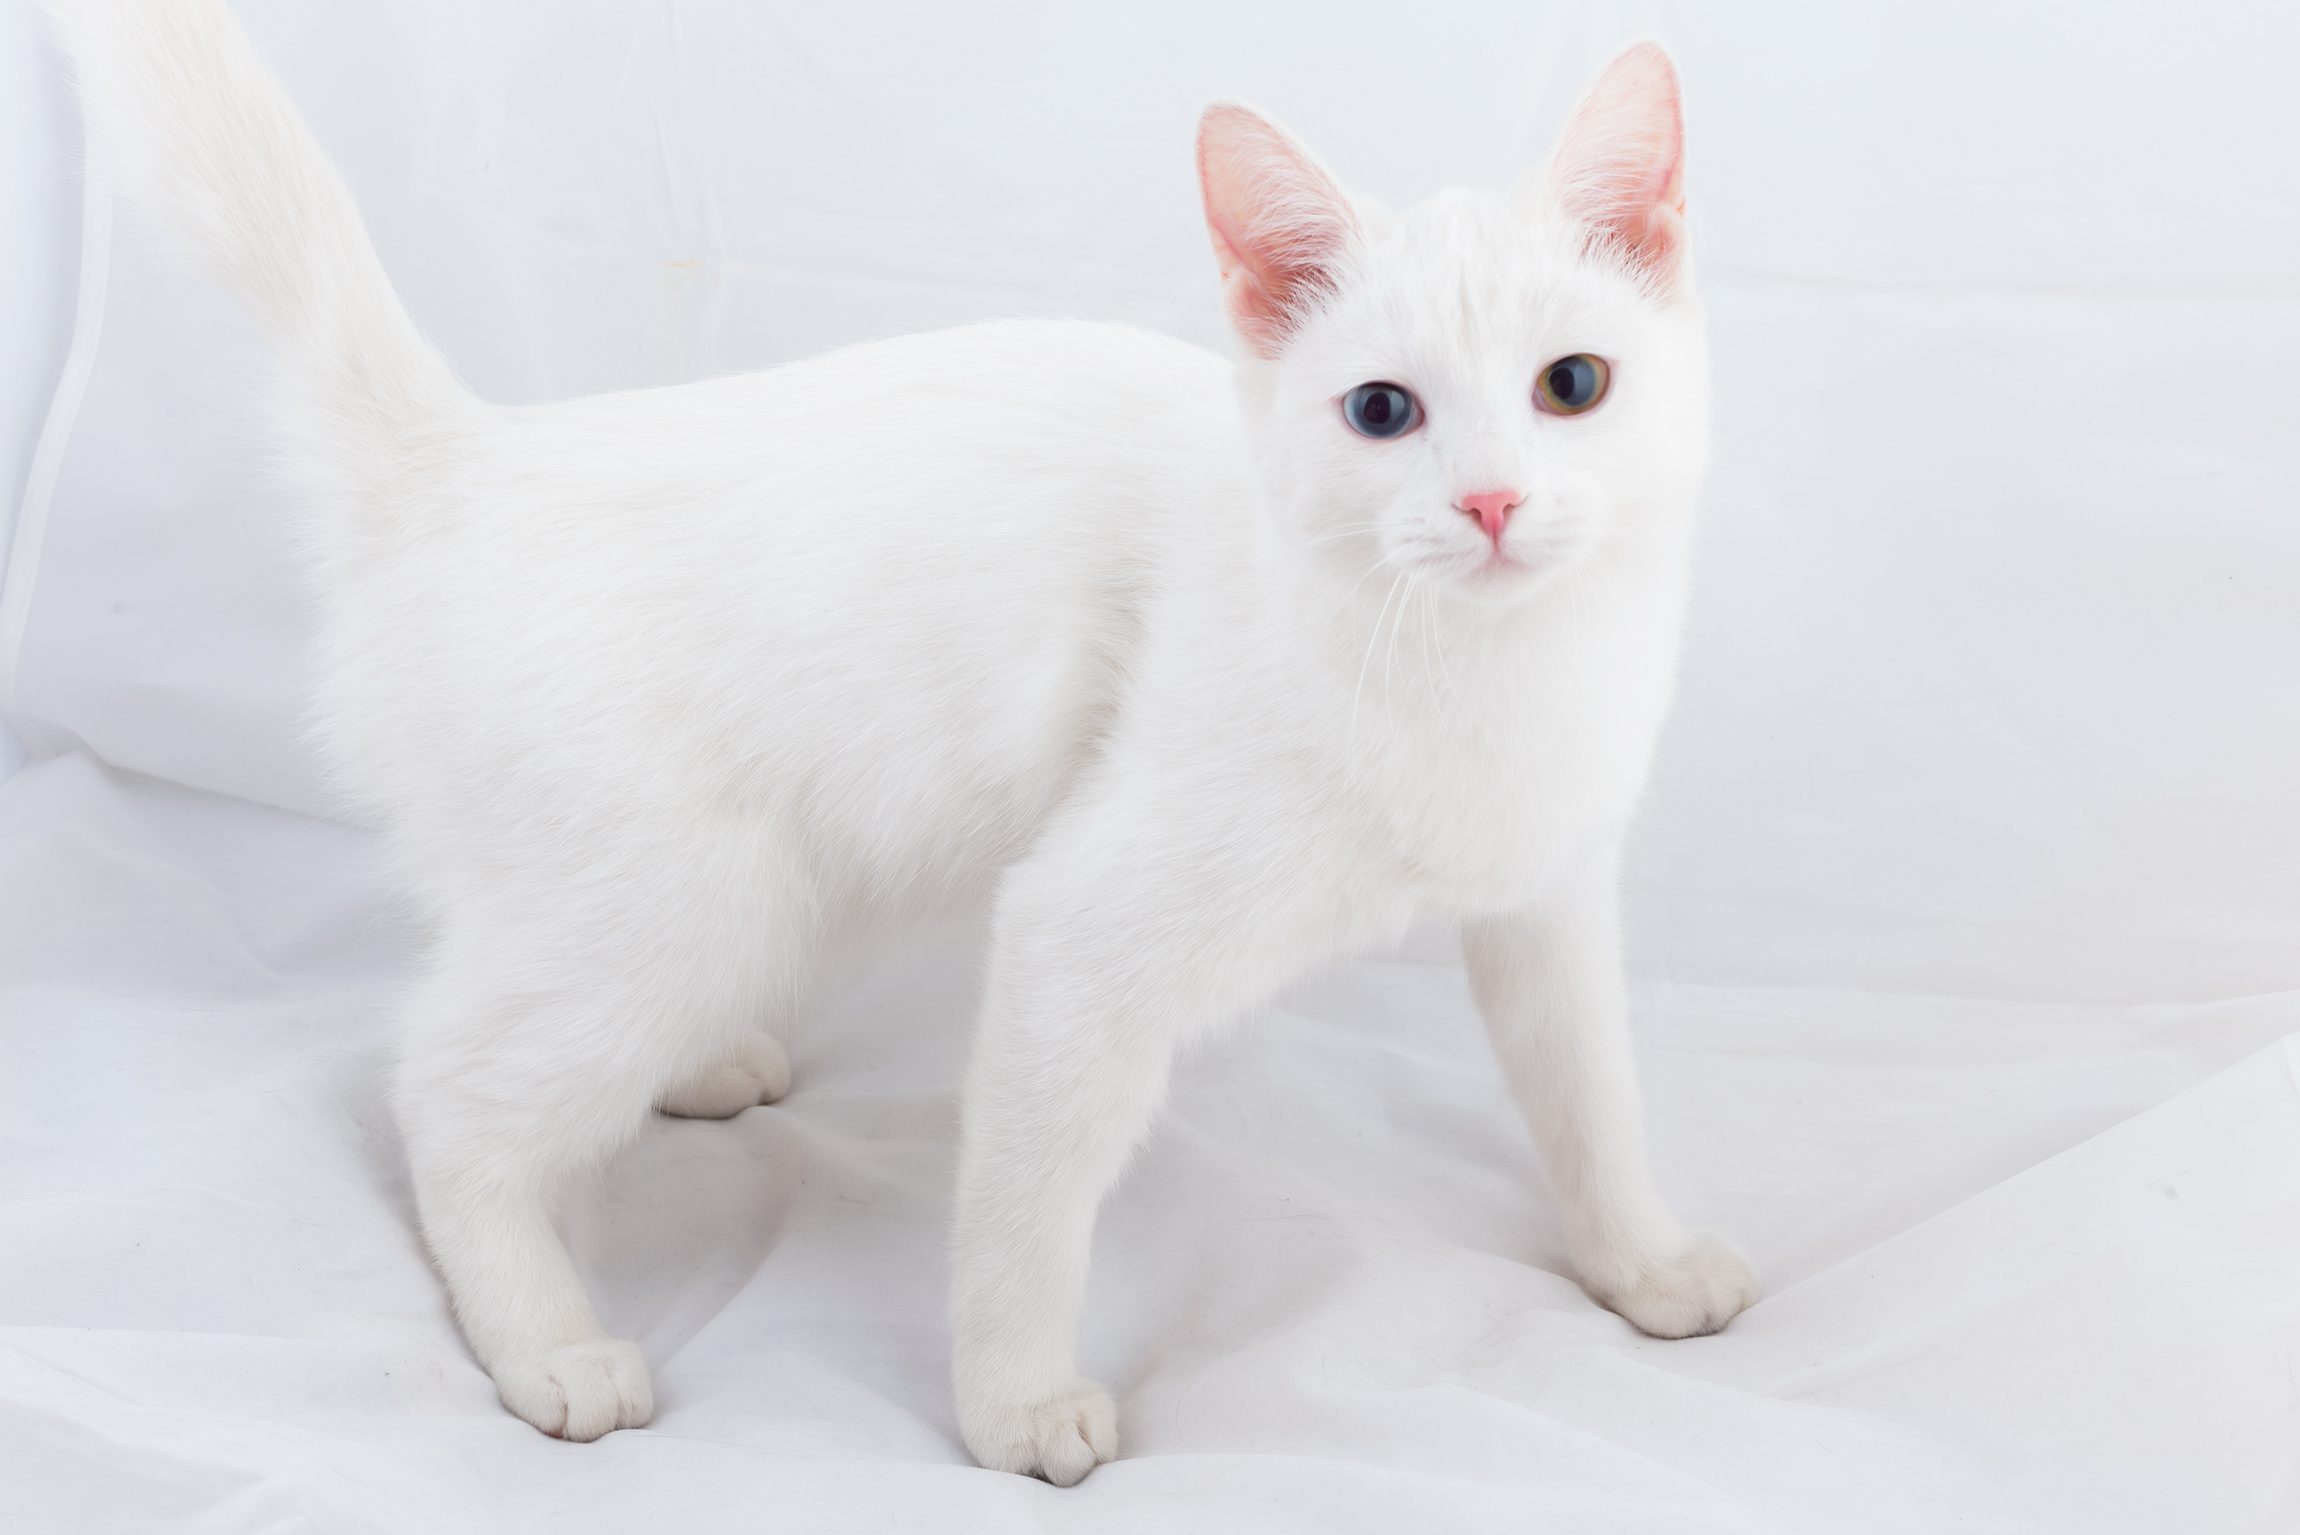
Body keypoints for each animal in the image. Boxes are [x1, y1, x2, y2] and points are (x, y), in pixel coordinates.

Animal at [58, 0, 1757, 1491]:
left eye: (1573, 385)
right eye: (1383, 411)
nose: (1490, 501)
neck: (1484, 682)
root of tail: (471, 461)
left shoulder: (1550, 898)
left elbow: (1588, 1093)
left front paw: (1642, 1260)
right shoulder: (1076, 929)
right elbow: (1025, 1210)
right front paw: (1015, 1403)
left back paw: (702, 1069)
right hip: (682, 899)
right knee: (444, 1092)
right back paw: (547, 1341)